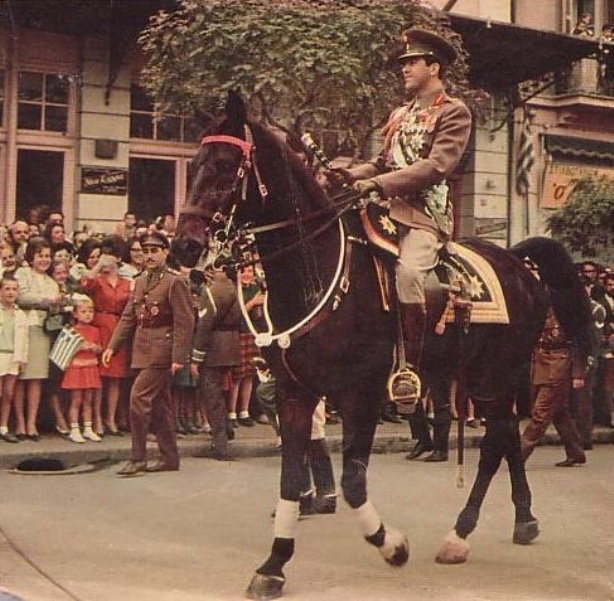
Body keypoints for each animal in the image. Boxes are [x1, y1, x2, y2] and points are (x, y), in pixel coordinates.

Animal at [180, 91, 596, 596]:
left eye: (224, 164)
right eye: (194, 160)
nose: (183, 246)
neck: (316, 271)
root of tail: (517, 260)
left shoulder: (360, 394)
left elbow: (353, 482)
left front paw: (391, 545)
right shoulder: (296, 392)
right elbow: (291, 479)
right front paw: (274, 563)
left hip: (494, 375)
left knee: (495, 442)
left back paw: (460, 533)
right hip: (488, 377)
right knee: (509, 438)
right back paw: (524, 519)